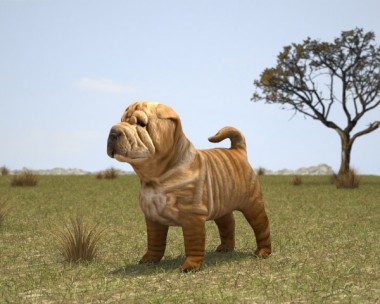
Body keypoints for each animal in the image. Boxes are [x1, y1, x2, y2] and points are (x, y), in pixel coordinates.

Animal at [107, 101, 270, 270]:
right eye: (121, 120)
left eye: (140, 123)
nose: (113, 132)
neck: (156, 177)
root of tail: (238, 150)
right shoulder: (153, 217)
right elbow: (154, 241)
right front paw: (149, 259)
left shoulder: (192, 217)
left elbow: (193, 243)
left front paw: (190, 266)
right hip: (221, 205)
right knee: (227, 223)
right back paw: (225, 248)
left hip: (252, 204)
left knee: (261, 225)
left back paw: (263, 252)